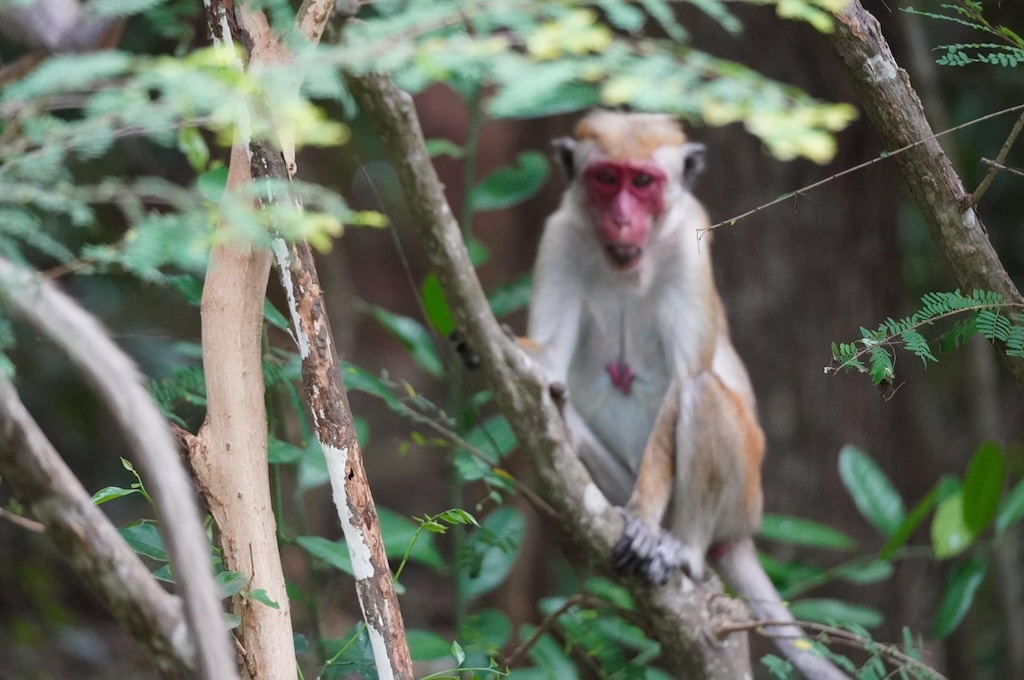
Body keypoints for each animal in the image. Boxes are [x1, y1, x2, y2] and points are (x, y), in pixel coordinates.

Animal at [528, 111, 847, 680]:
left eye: (643, 182)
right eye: (606, 179)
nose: (621, 220)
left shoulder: (688, 245)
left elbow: (683, 382)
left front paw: (643, 521)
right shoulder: (561, 235)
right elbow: (548, 354)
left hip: (745, 498)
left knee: (703, 395)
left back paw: (681, 548)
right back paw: (562, 425)